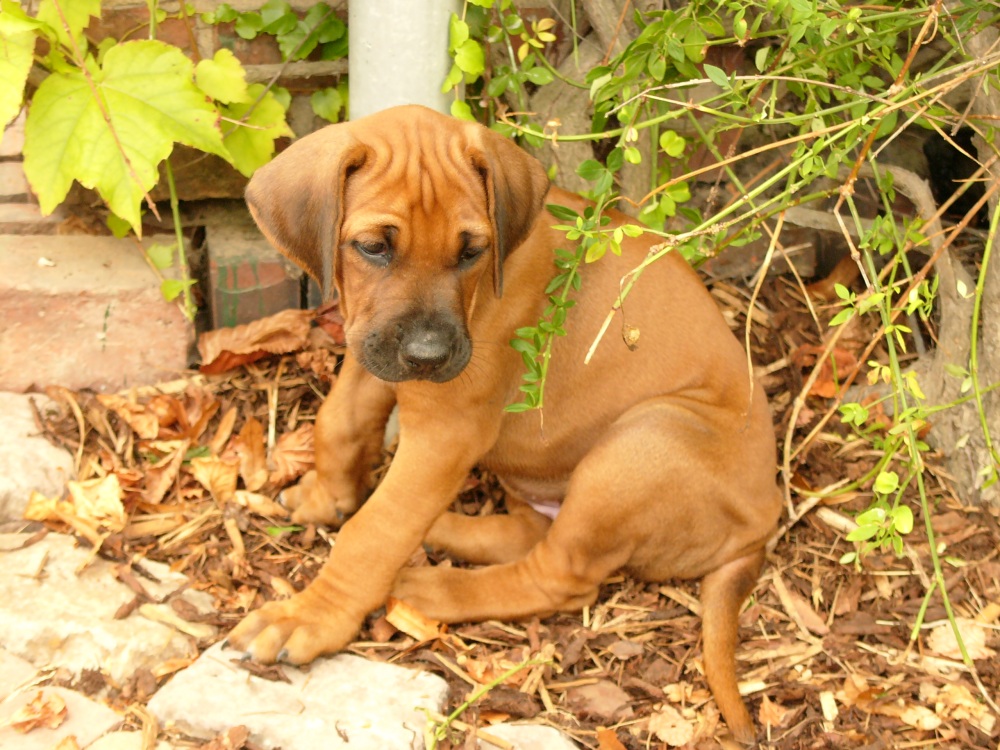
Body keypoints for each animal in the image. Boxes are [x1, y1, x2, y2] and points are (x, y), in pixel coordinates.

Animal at [227, 104, 782, 744]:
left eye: (472, 251)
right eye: (371, 247)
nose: (428, 355)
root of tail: (764, 522)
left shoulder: (446, 430)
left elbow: (376, 530)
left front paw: (310, 617)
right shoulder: (374, 354)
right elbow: (339, 423)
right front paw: (329, 497)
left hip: (645, 440)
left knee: (558, 575)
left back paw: (432, 587)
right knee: (528, 535)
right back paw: (442, 531)